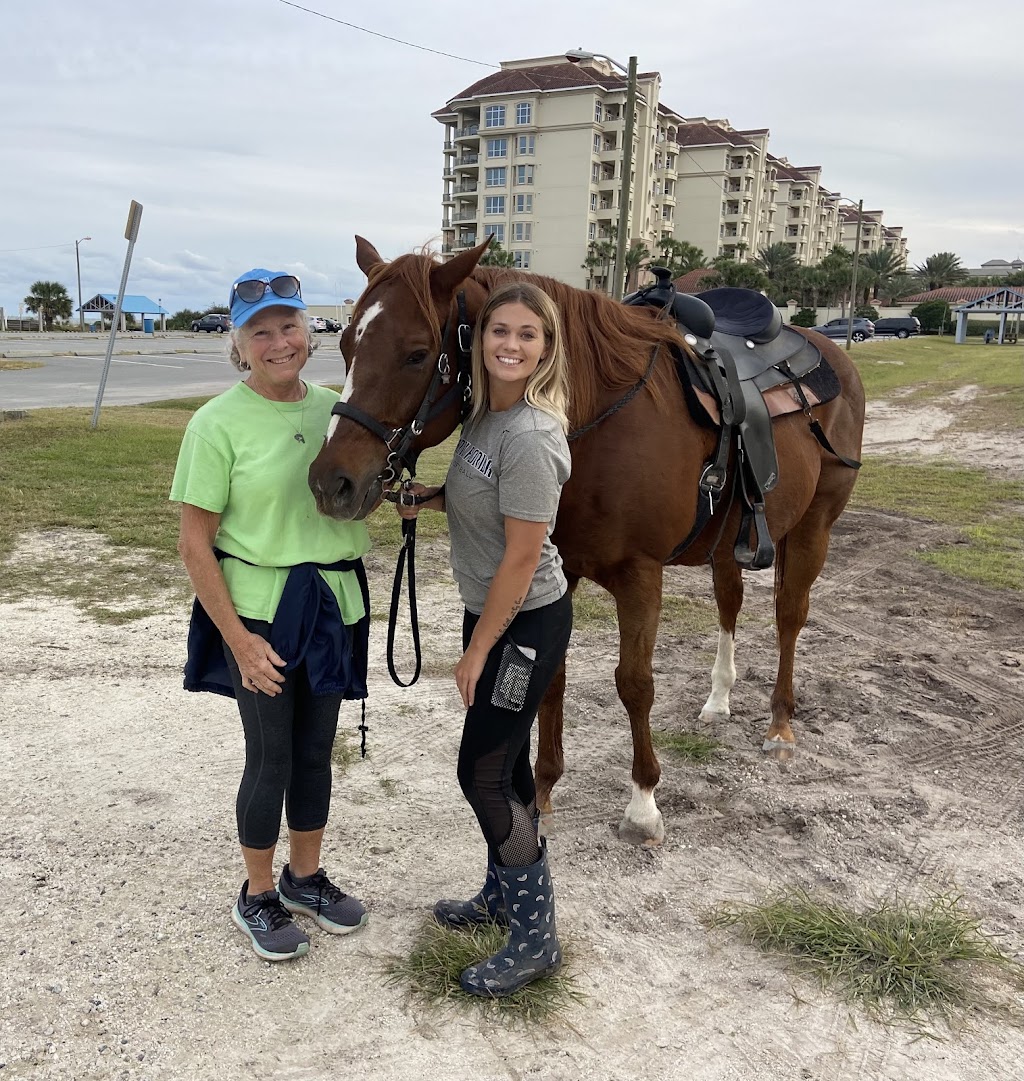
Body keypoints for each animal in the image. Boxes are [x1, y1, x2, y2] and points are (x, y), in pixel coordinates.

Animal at [309, 236, 865, 843]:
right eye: (345, 344)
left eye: (415, 354)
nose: (331, 483)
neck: (590, 421)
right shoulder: (562, 570)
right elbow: (552, 679)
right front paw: (544, 791)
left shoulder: (641, 575)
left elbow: (635, 683)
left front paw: (643, 803)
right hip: (727, 545)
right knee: (730, 605)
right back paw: (719, 698)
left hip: (814, 525)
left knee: (790, 615)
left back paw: (780, 724)